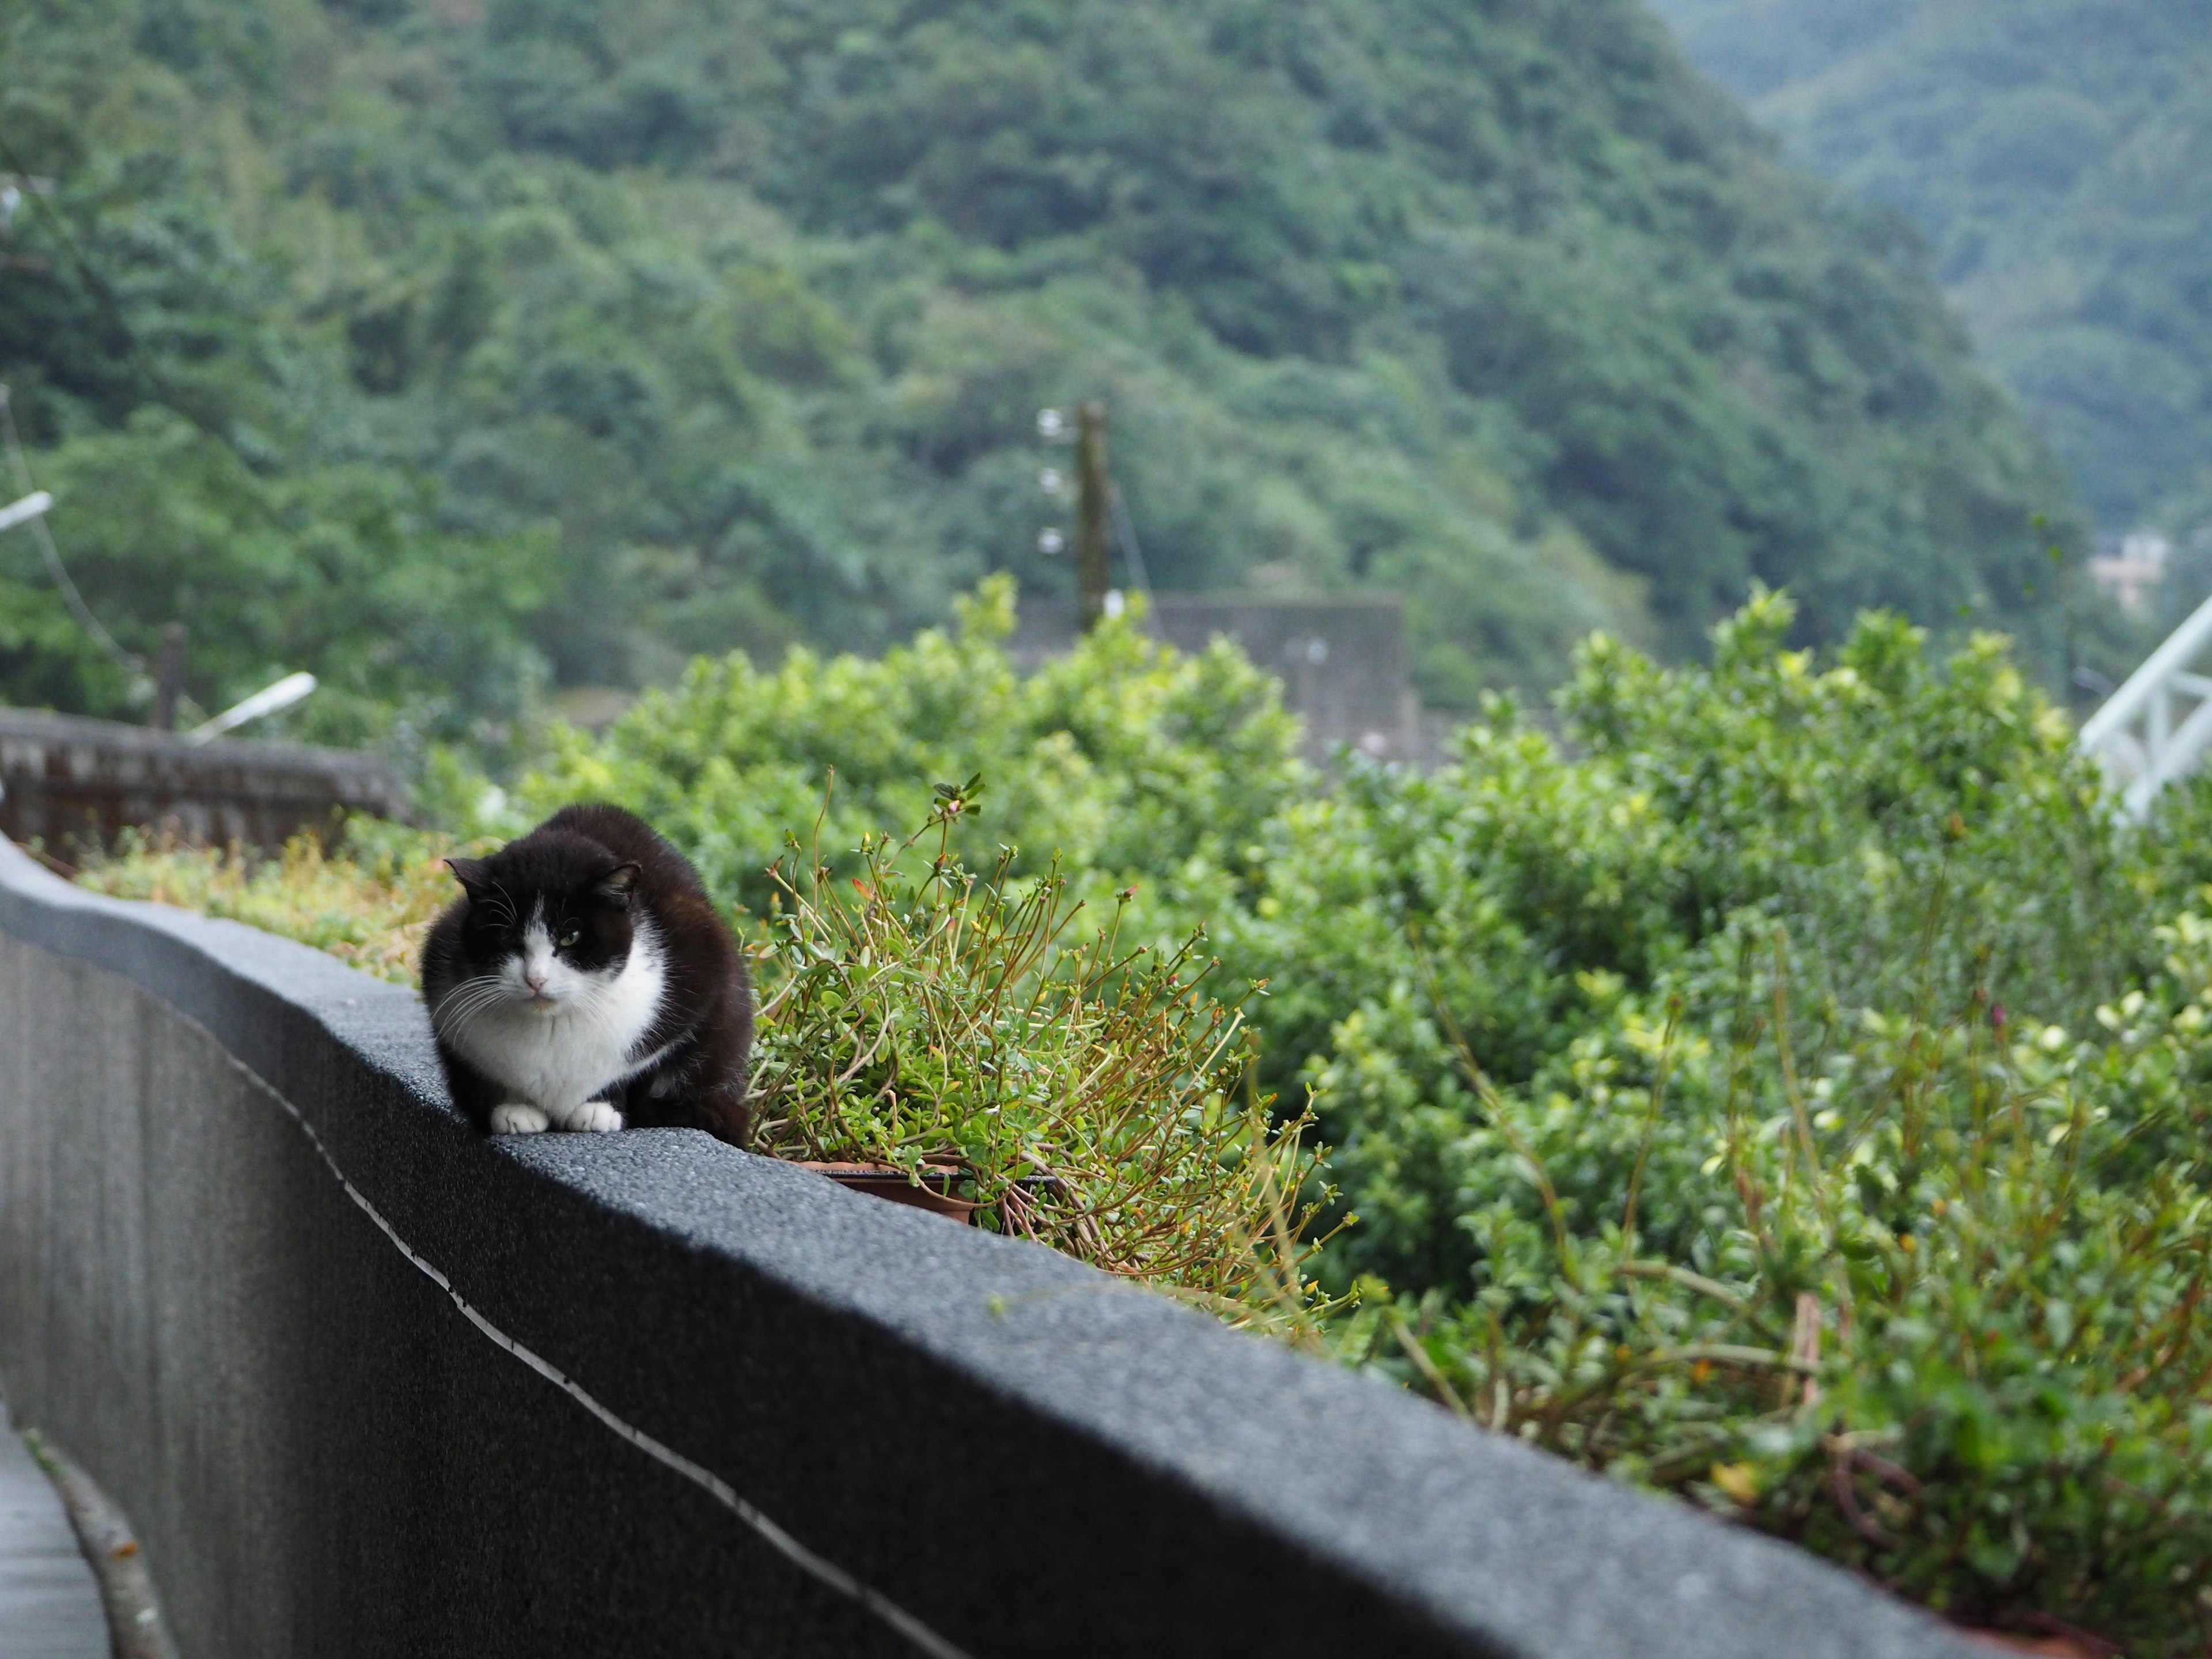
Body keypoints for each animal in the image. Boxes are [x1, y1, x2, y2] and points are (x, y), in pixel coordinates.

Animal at [418, 801, 756, 1141]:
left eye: (571, 937)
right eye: (508, 936)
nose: (536, 979)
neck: (551, 1026)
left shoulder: (699, 967)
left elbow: (637, 1070)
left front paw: (600, 1108)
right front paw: (515, 1108)